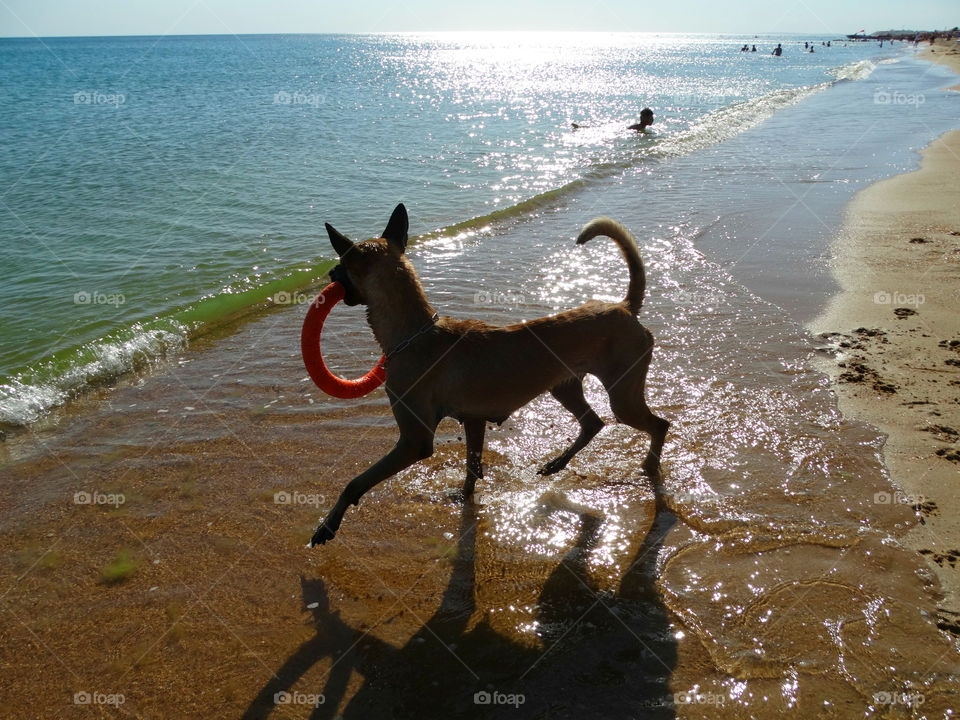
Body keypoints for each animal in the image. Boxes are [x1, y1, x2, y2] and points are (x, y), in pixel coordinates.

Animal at [310, 204, 668, 544]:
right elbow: (472, 468)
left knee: (658, 425)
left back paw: (649, 468)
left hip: (622, 395)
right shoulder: (473, 420)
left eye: (339, 267)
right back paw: (558, 463)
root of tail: (624, 307)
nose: (329, 274)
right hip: (564, 387)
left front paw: (328, 524)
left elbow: (355, 482)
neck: (415, 332)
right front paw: (465, 496)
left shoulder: (415, 440)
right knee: (593, 423)